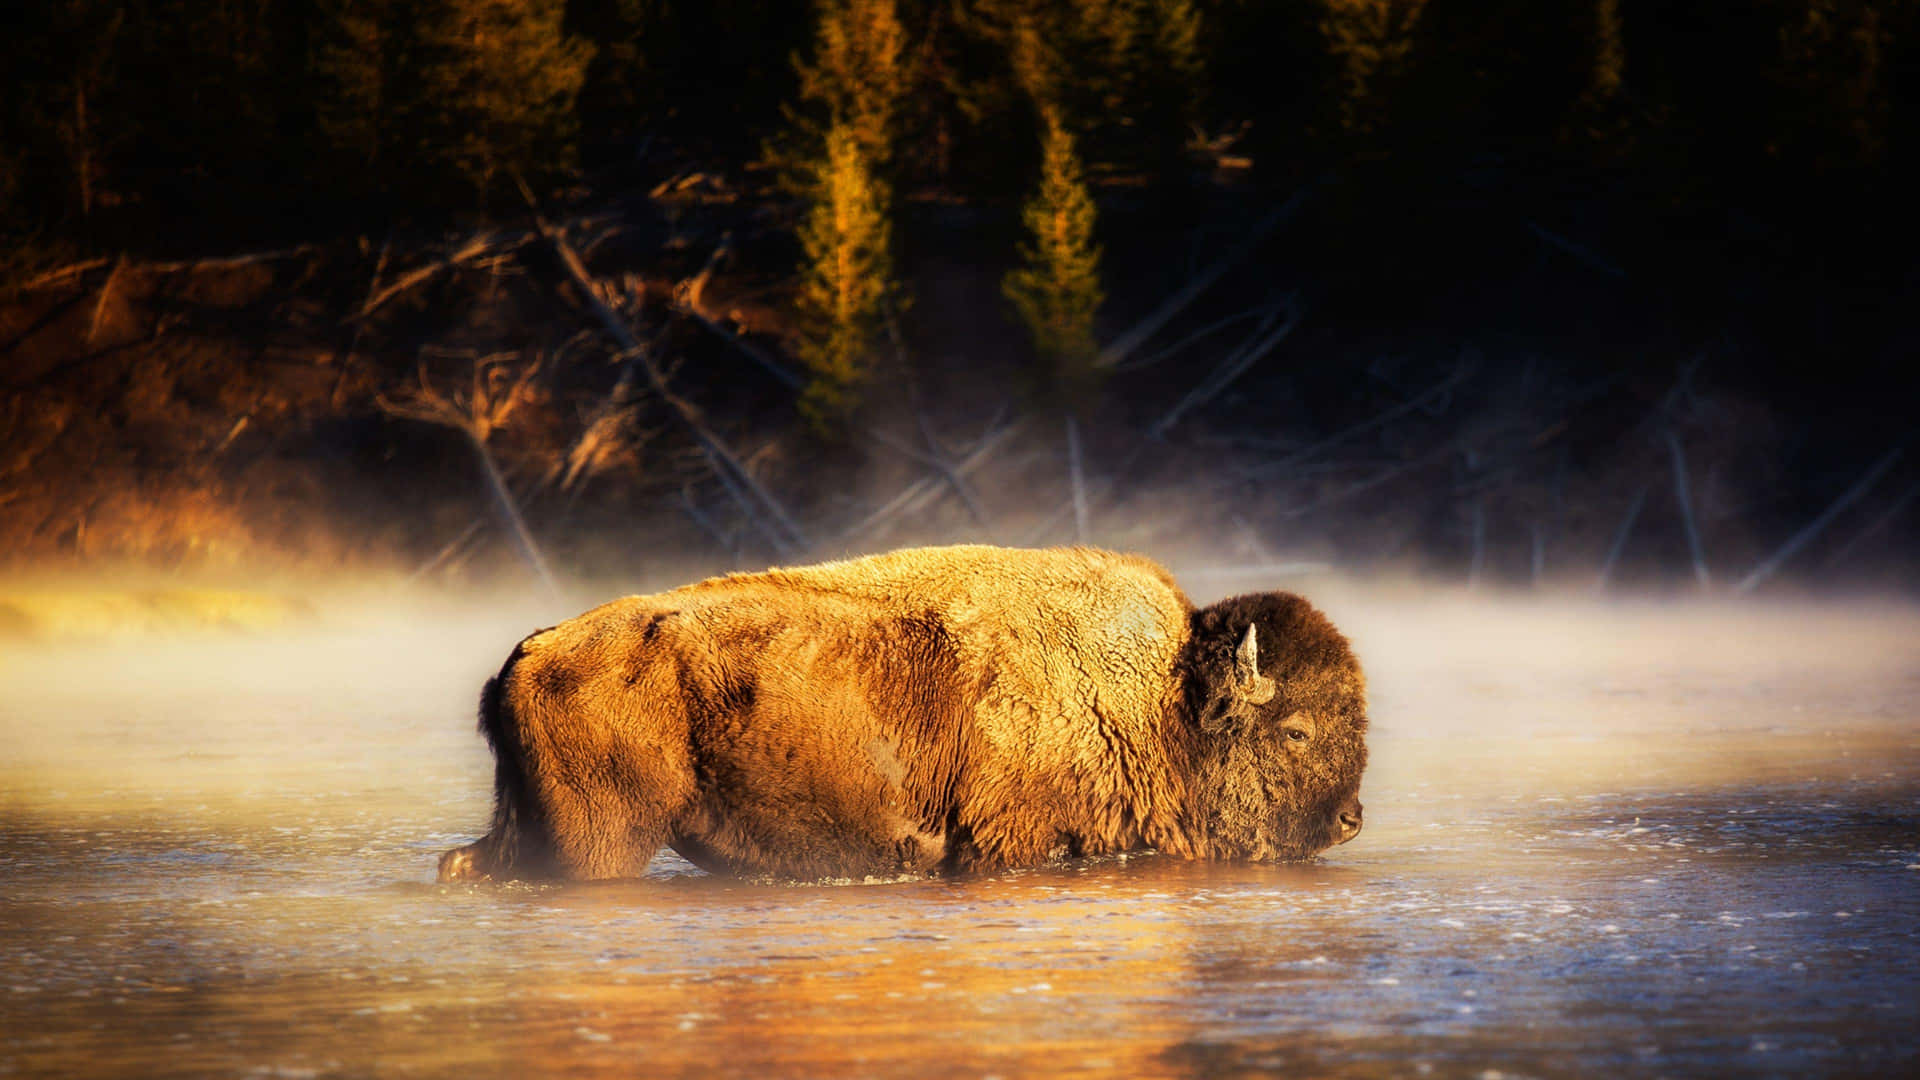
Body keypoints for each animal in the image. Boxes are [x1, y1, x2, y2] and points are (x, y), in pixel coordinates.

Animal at [435, 541, 1367, 880]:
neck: (1164, 702)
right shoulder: (1010, 846)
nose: (1350, 818)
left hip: (528, 826)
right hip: (601, 843)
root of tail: (533, 653)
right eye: (1295, 730)